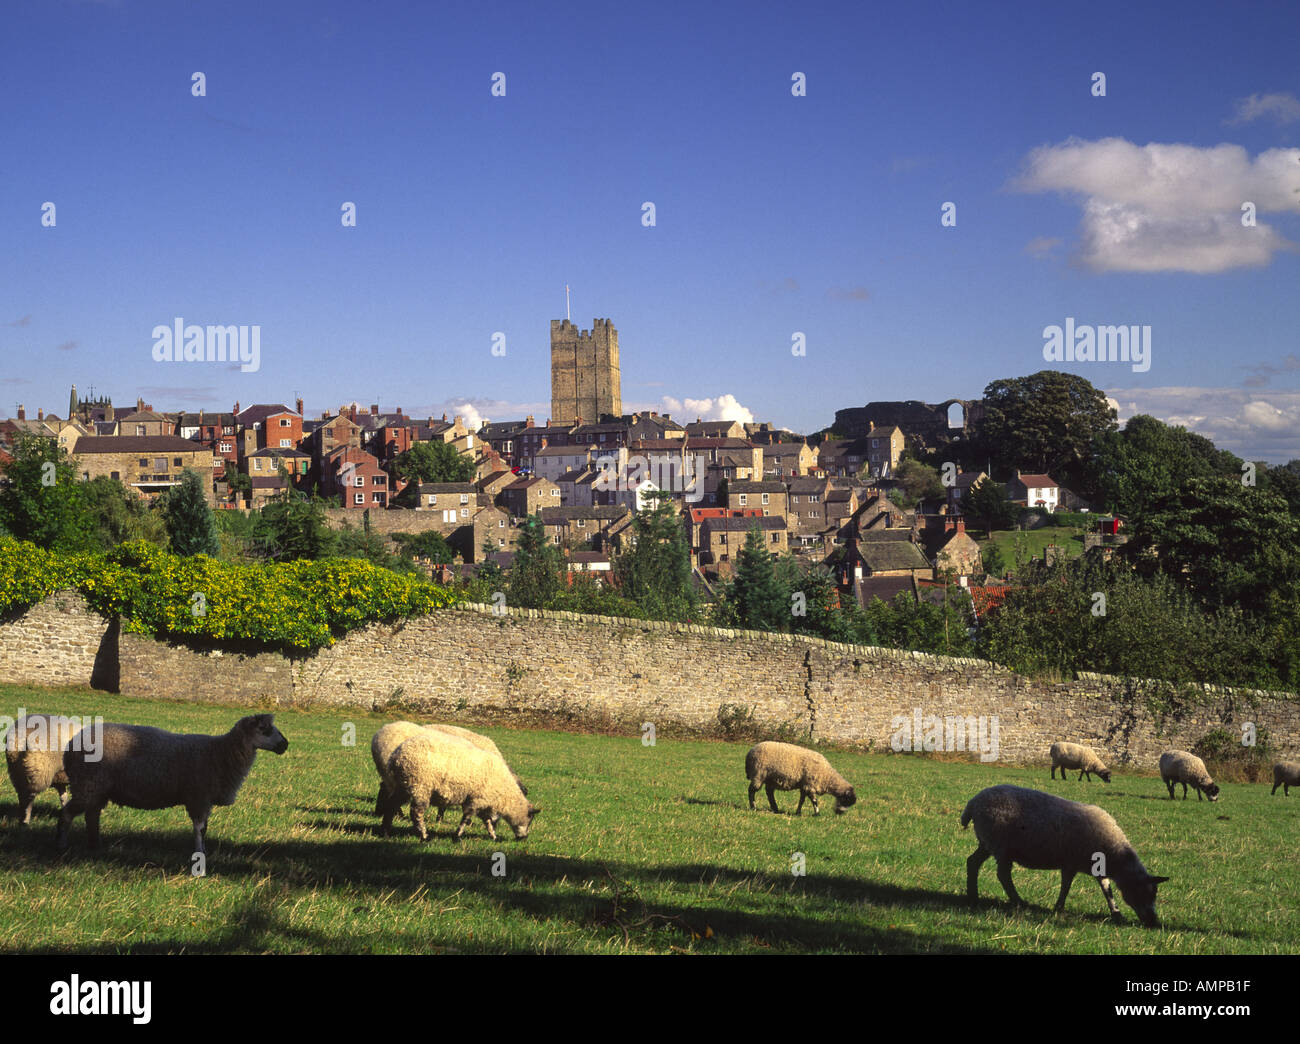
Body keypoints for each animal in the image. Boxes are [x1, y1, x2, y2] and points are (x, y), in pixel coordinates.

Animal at [56, 717, 289, 858]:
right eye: (264, 729)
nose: (285, 745)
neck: (220, 752)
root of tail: (71, 746)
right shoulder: (198, 796)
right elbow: (199, 829)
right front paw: (199, 855)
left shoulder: (204, 799)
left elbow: (205, 828)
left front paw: (204, 851)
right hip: (88, 784)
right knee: (66, 814)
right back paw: (63, 846)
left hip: (97, 788)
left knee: (91, 816)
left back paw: (96, 847)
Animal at [384, 733, 538, 847]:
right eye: (530, 819)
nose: (524, 838)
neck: (505, 794)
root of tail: (396, 755)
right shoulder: (476, 800)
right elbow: (467, 818)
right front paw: (457, 836)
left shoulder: (482, 801)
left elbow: (487, 822)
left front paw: (494, 837)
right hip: (420, 787)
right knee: (416, 813)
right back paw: (424, 836)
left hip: (403, 785)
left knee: (391, 805)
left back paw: (386, 830)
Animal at [967, 785, 1170, 930]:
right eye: (1141, 893)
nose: (1153, 922)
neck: (1114, 855)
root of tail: (973, 802)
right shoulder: (1070, 863)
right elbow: (1066, 886)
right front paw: (1059, 908)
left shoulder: (1097, 867)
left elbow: (1107, 889)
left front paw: (1116, 912)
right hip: (1001, 846)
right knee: (1003, 874)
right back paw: (1018, 901)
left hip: (987, 843)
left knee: (972, 862)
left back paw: (973, 897)